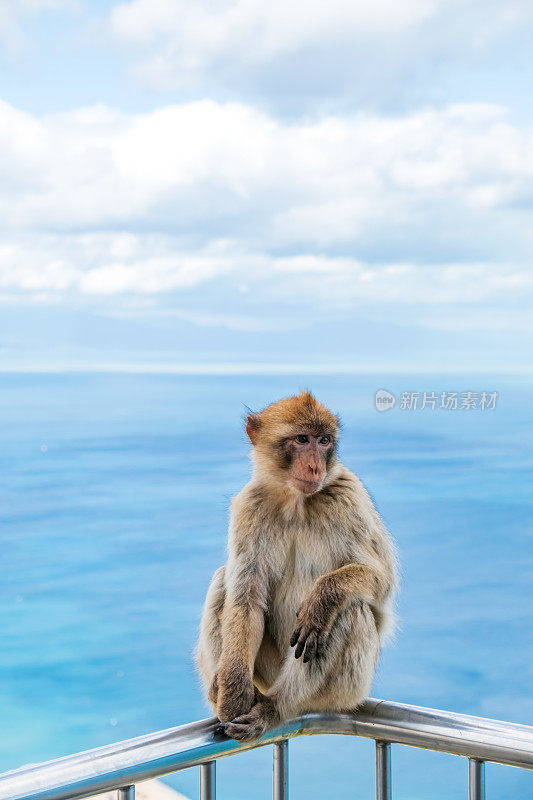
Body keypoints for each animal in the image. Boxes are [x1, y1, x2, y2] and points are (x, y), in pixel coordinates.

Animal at [194, 390, 394, 740]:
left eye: (324, 440)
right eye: (302, 440)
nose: (315, 466)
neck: (295, 501)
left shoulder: (349, 497)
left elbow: (382, 581)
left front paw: (322, 598)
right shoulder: (250, 506)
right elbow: (246, 598)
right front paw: (233, 693)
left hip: (347, 689)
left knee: (350, 609)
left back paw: (274, 708)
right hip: (267, 670)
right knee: (223, 580)